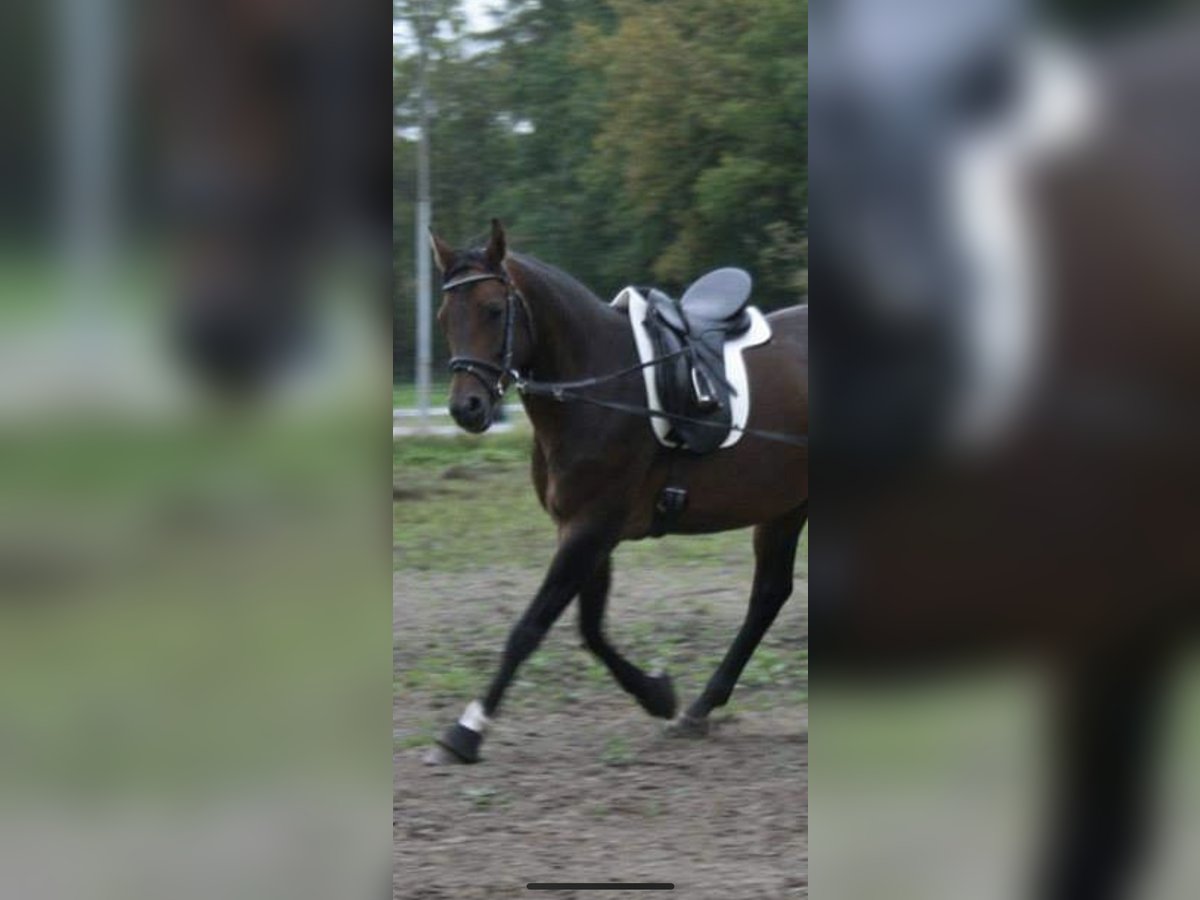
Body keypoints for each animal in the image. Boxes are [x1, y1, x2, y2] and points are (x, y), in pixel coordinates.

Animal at [422, 222, 806, 763]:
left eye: (494, 310)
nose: (466, 409)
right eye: (443, 316)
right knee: (769, 595)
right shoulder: (583, 530)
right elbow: (590, 629)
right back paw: (698, 710)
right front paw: (658, 694)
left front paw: (466, 730)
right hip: (786, 505)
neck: (596, 388)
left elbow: (530, 628)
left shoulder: (592, 527)